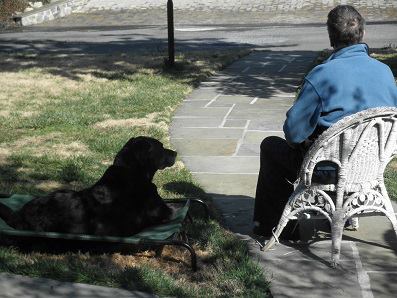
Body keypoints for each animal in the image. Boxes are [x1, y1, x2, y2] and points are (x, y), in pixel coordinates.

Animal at [0, 136, 176, 236]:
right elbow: (172, 209)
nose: (175, 153)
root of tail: (20, 214)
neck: (129, 170)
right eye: (161, 147)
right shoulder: (163, 211)